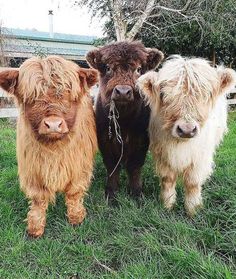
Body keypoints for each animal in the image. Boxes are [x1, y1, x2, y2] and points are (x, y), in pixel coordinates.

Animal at [0, 55, 98, 237]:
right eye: (32, 97)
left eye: (68, 94)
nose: (53, 125)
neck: (54, 148)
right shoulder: (32, 169)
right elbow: (38, 199)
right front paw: (35, 227)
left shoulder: (79, 165)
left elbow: (74, 193)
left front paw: (76, 218)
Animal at [86, 41, 164, 200]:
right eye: (108, 68)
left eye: (139, 69)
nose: (122, 92)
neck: (124, 121)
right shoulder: (105, 140)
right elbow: (112, 166)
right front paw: (111, 193)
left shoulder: (141, 140)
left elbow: (135, 167)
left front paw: (136, 193)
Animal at [137, 55, 236, 215]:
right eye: (163, 94)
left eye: (207, 94)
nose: (187, 130)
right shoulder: (162, 153)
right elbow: (167, 179)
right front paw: (167, 205)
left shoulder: (200, 157)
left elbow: (192, 182)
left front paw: (192, 209)